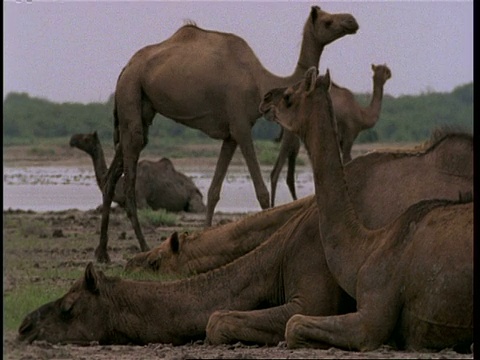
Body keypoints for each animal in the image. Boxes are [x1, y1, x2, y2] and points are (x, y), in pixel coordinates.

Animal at [70, 131, 205, 214]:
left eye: (86, 138)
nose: (72, 139)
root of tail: (196, 187)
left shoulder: (141, 200)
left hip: (194, 196)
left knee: (195, 208)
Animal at [98, 4, 360, 262]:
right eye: (327, 21)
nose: (352, 21)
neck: (260, 81)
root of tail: (126, 68)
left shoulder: (230, 135)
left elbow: (214, 190)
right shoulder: (241, 126)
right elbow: (261, 191)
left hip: (140, 106)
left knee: (113, 174)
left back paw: (102, 253)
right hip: (131, 90)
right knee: (130, 181)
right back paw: (142, 247)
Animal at [270, 63, 390, 207]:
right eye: (384, 71)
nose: (390, 73)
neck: (362, 115)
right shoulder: (349, 136)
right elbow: (347, 160)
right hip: (291, 135)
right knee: (277, 170)